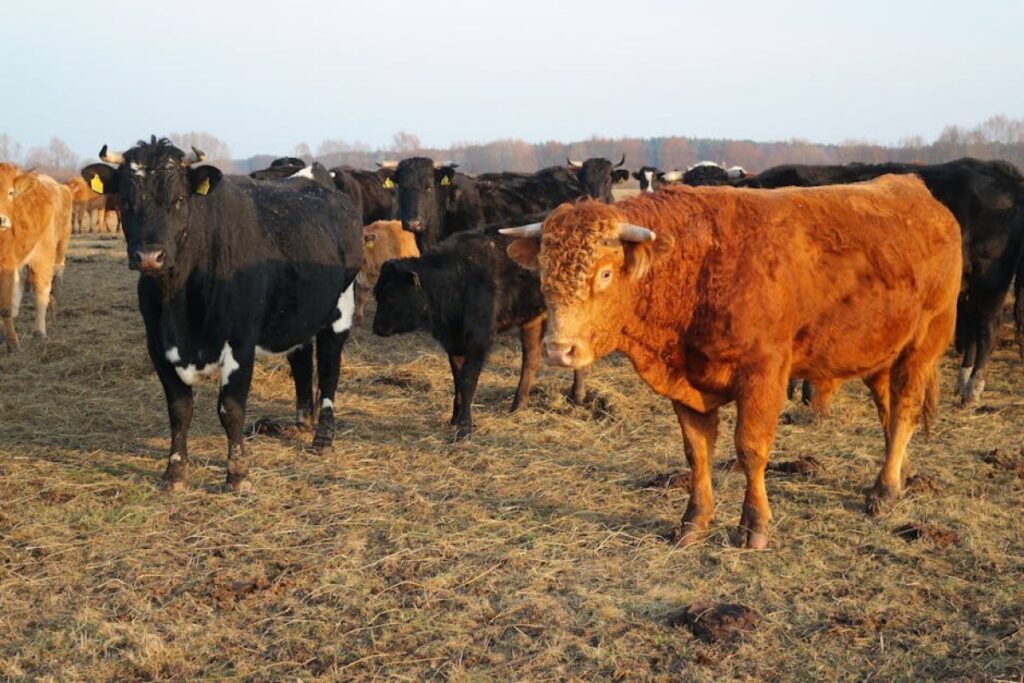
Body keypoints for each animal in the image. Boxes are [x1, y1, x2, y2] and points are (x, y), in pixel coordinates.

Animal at [0, 165, 72, 351]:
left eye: (10, 192)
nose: (1, 220)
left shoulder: (6, 266)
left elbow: (5, 307)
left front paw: (13, 344)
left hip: (43, 256)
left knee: (41, 292)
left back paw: (39, 332)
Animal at [81, 137, 362, 492]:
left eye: (179, 199)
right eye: (126, 200)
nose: (149, 256)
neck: (179, 301)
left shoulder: (240, 342)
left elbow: (231, 409)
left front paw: (238, 473)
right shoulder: (157, 344)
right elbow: (179, 409)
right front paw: (174, 473)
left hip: (341, 305)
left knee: (328, 368)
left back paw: (323, 437)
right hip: (299, 309)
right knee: (301, 358)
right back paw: (302, 422)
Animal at [372, 222, 585, 438]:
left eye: (392, 296)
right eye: (377, 294)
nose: (377, 327)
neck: (458, 277)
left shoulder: (479, 340)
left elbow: (468, 379)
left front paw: (465, 427)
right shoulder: (454, 343)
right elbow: (458, 379)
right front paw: (455, 419)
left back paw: (577, 396)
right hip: (531, 320)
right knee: (531, 359)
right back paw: (518, 406)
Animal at [501, 176, 961, 549]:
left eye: (606, 273)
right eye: (544, 273)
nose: (558, 349)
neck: (703, 264)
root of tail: (918, 191)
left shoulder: (763, 375)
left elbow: (750, 450)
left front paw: (754, 525)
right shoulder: (686, 382)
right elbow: (696, 452)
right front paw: (693, 521)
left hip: (924, 343)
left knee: (904, 409)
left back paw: (884, 492)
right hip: (882, 350)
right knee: (888, 409)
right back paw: (898, 476)